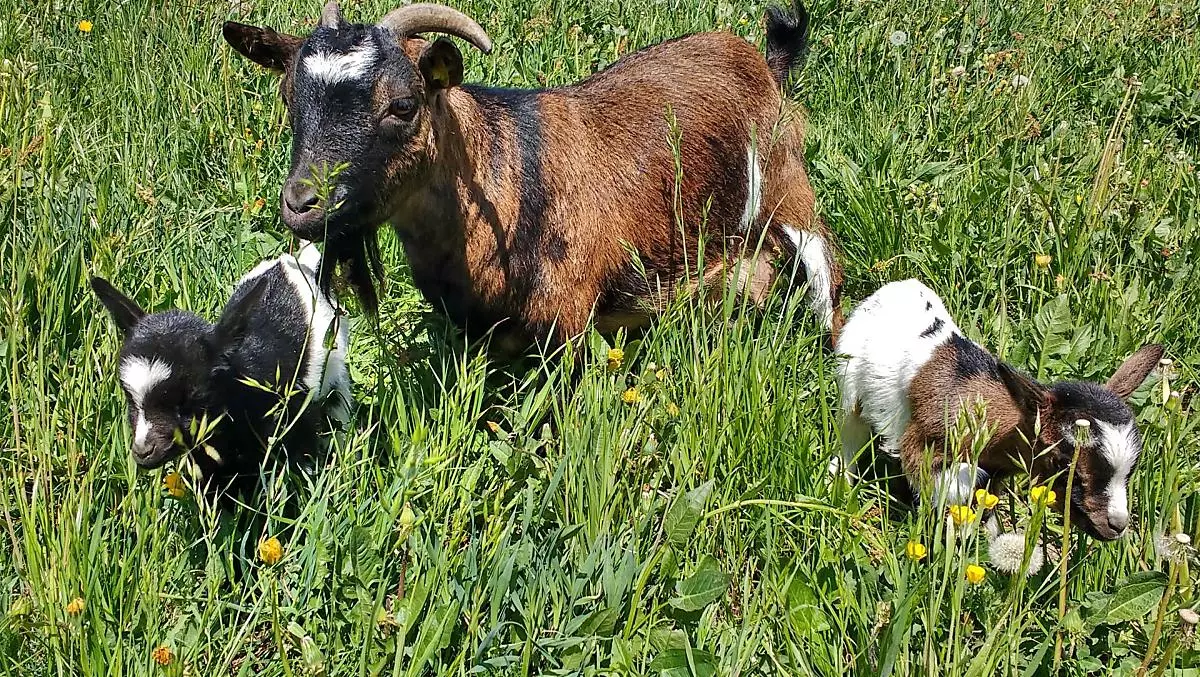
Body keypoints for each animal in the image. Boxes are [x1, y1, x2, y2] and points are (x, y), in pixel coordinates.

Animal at [222, 0, 843, 350]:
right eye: (289, 96)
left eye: (403, 104)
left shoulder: (568, 320)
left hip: (790, 195)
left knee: (826, 279)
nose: (302, 203)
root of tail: (764, 63)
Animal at [836, 279, 1163, 541]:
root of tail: (896, 288)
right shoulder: (920, 446)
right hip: (849, 382)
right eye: (1062, 462)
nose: (1116, 525)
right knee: (849, 436)